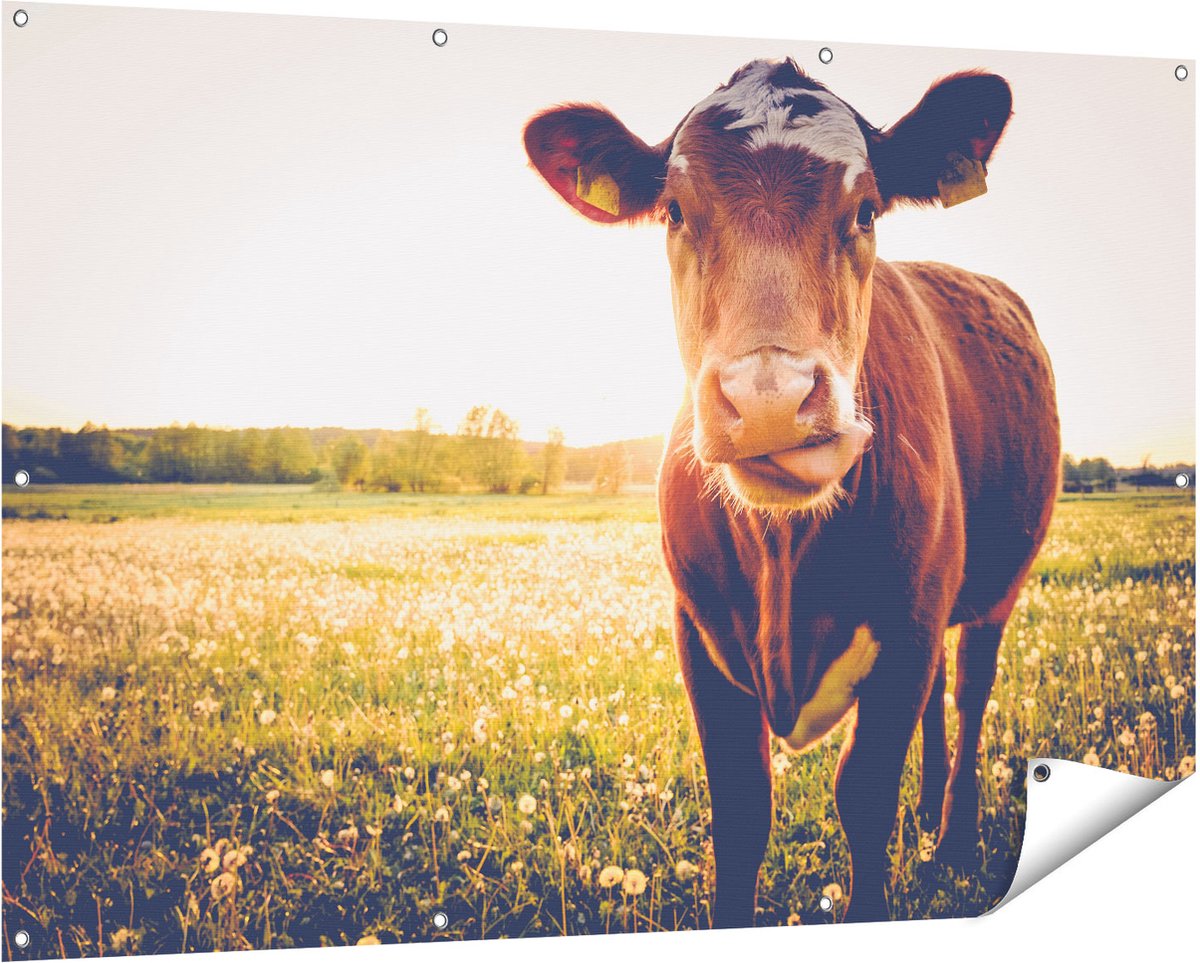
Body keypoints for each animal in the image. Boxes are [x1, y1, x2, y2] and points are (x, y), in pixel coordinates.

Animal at [523, 58, 1060, 925]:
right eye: (675, 210)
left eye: (867, 208)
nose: (770, 397)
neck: (785, 554)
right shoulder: (699, 632)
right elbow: (742, 811)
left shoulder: (908, 628)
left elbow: (864, 797)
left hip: (994, 587)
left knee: (970, 693)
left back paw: (949, 838)